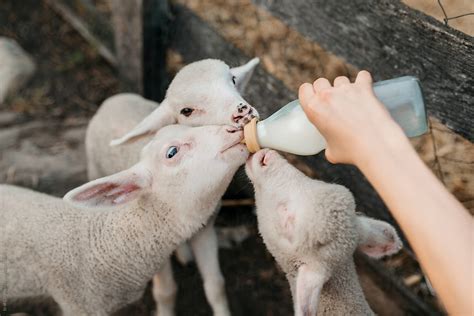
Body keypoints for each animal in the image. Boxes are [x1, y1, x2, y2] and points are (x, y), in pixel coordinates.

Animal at [84, 58, 260, 314]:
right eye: (186, 111)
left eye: (233, 79)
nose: (243, 113)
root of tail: (113, 99)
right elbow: (166, 292)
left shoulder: (205, 230)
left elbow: (215, 285)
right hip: (94, 168)